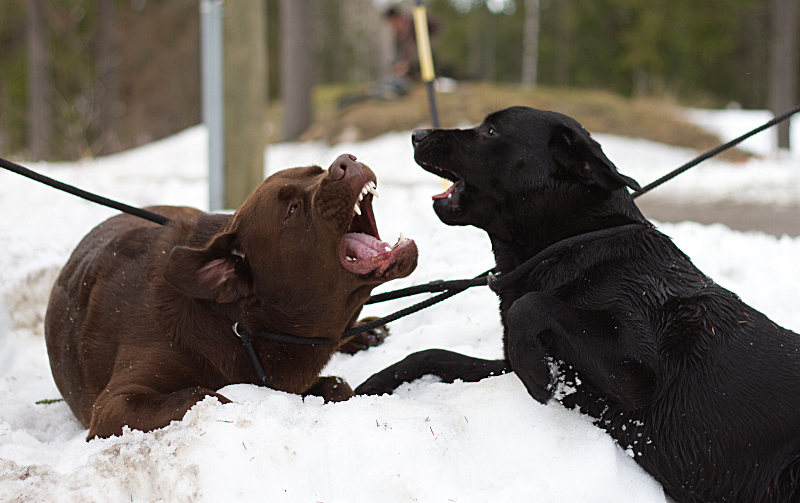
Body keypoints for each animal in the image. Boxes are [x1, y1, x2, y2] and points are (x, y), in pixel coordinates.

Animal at [45, 155, 418, 440]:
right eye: (292, 209)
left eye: (317, 170)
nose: (346, 162)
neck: (239, 323)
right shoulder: (112, 406)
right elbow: (203, 396)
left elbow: (338, 385)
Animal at [358, 107, 800, 503]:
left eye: (491, 131)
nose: (417, 134)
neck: (573, 245)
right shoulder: (504, 365)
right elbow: (429, 354)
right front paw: (366, 387)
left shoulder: (638, 376)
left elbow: (530, 306)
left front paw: (536, 375)